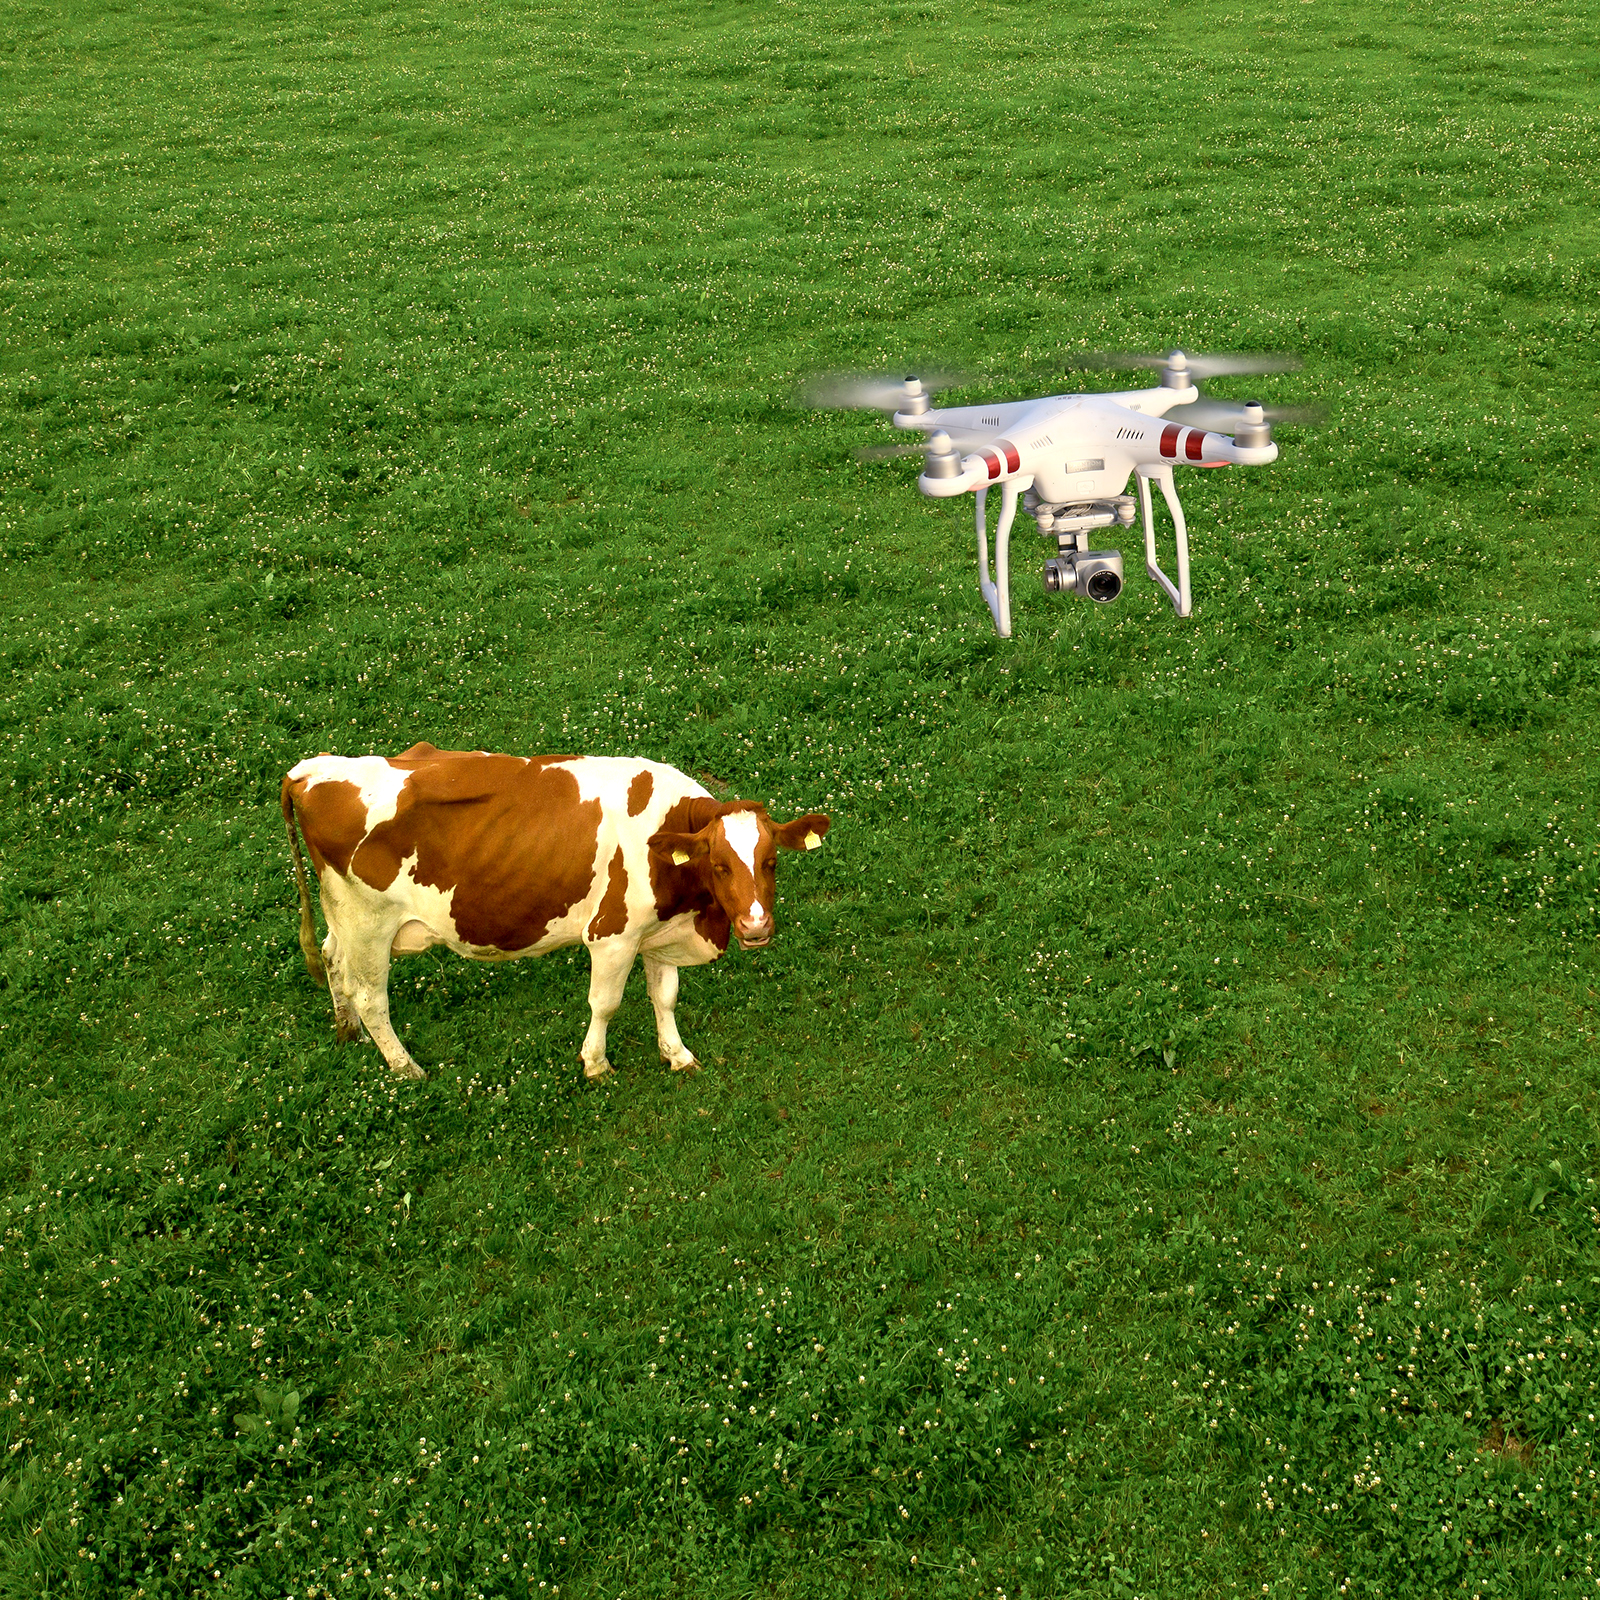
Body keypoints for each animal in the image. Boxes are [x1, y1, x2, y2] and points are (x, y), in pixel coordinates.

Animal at [281, 742, 832, 1081]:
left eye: (771, 861)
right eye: (719, 864)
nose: (756, 926)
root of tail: (312, 769)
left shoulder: (658, 932)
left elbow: (666, 996)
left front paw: (677, 1055)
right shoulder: (613, 935)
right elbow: (605, 1004)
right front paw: (596, 1065)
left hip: (343, 917)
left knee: (331, 959)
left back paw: (346, 1029)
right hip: (369, 922)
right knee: (371, 996)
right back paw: (405, 1068)